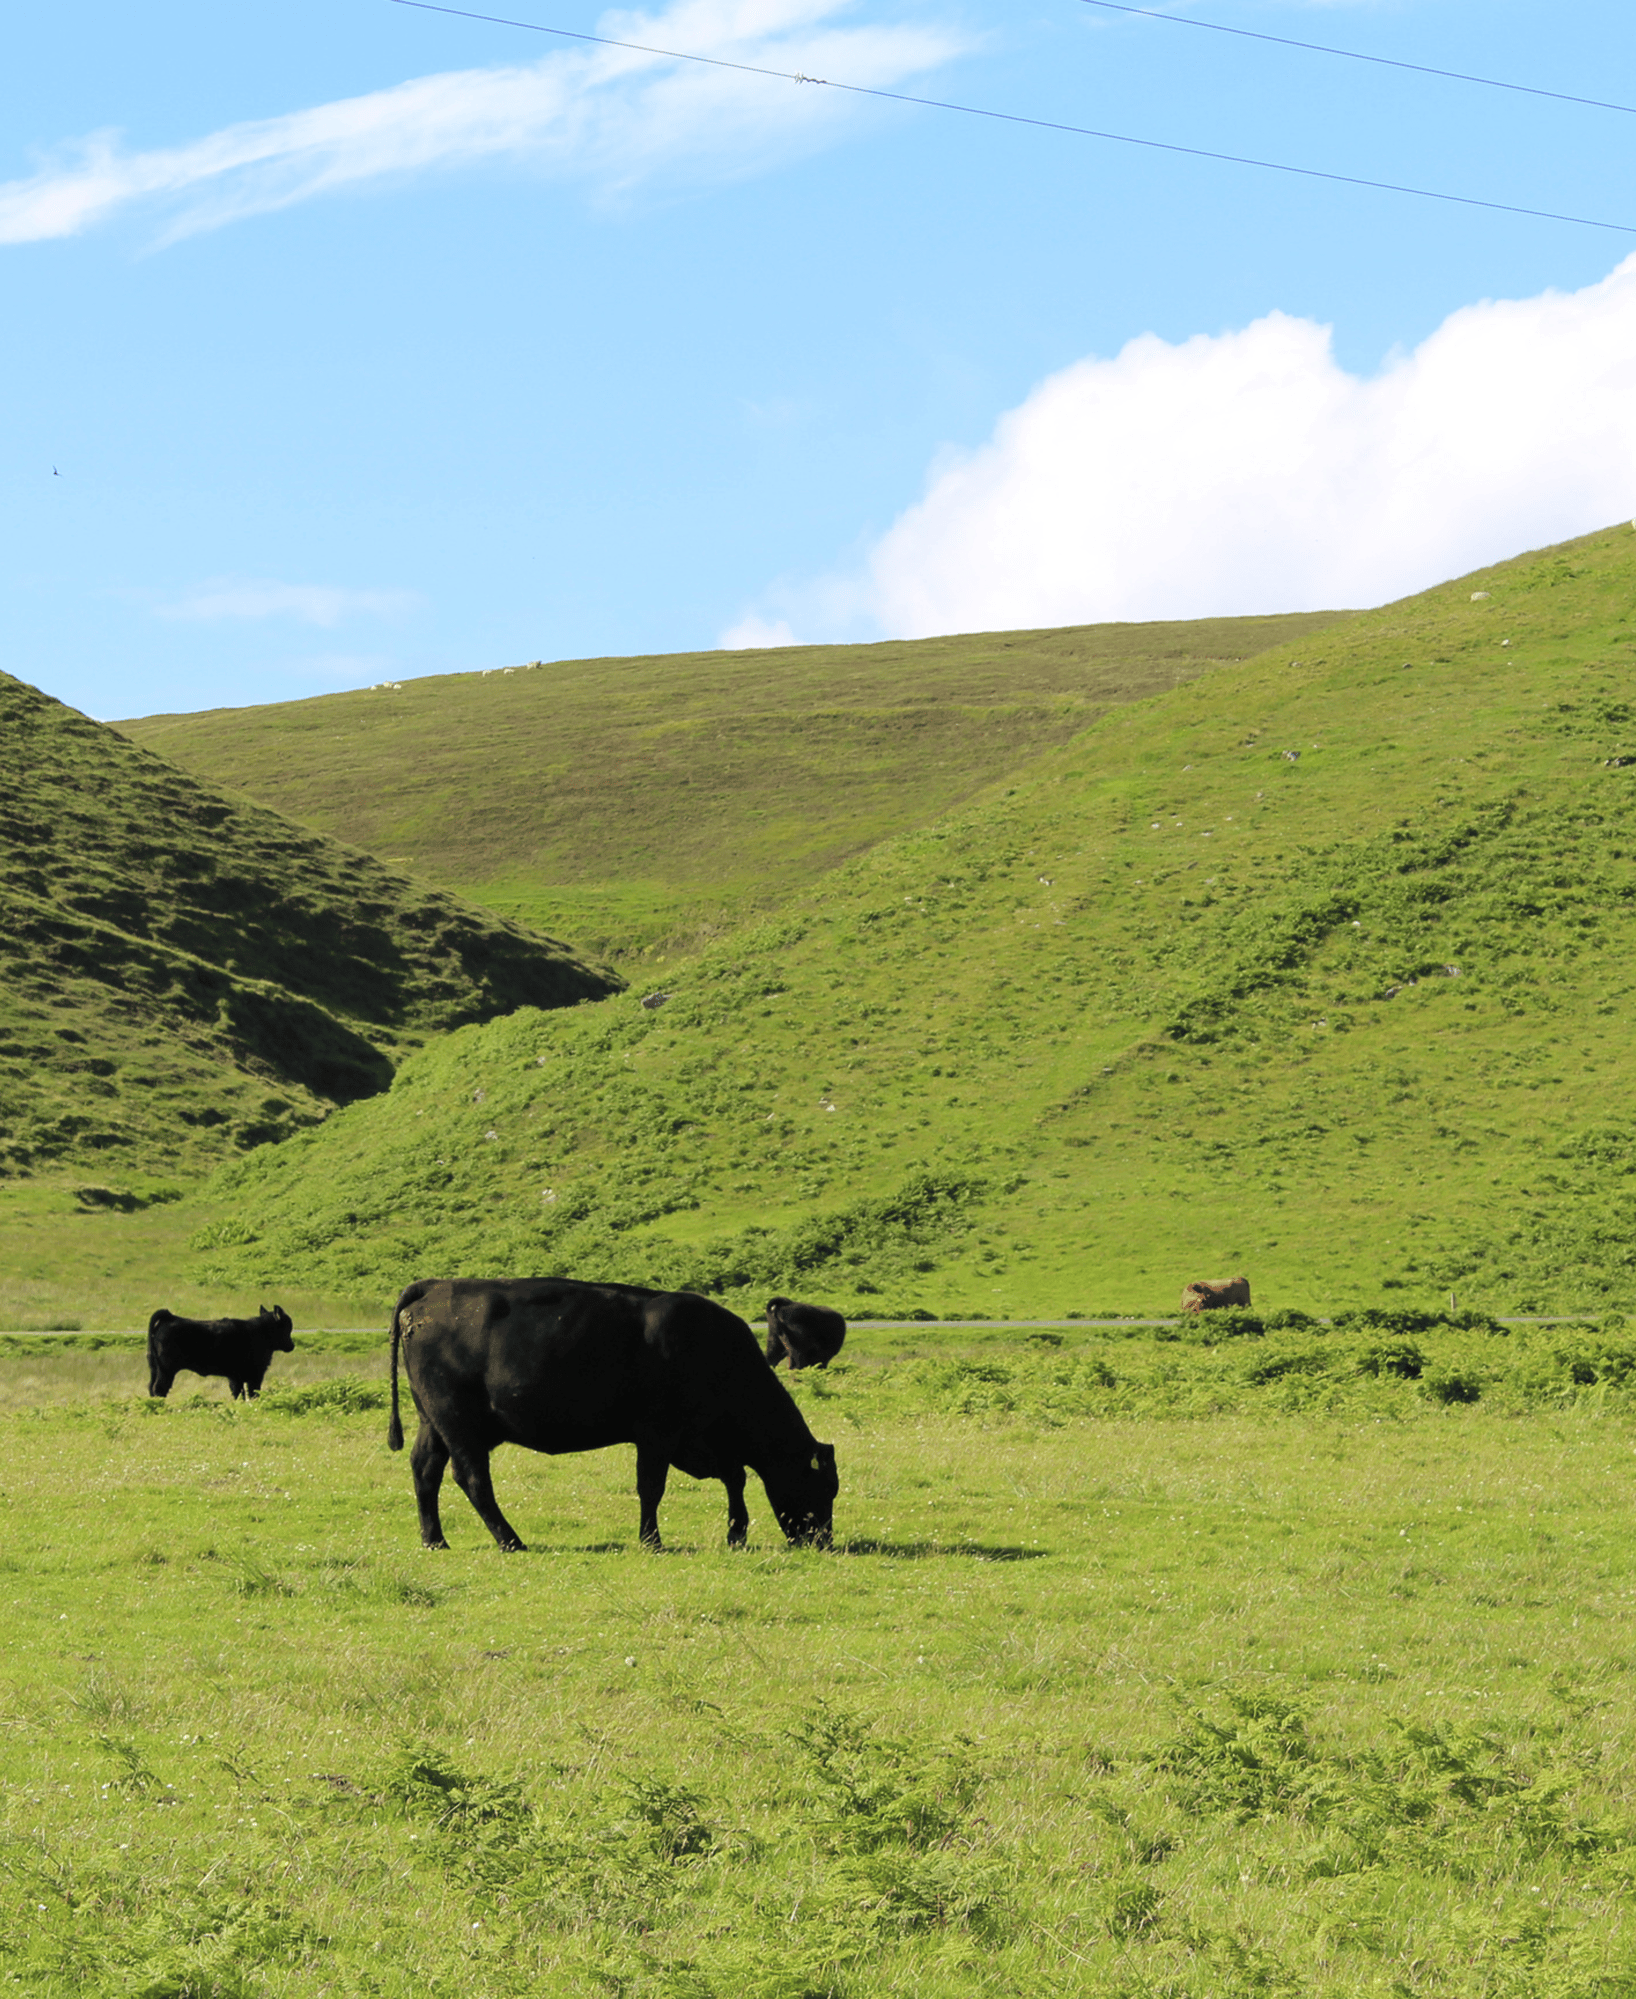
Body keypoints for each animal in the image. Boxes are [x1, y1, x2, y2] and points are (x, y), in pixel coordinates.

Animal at [147, 1303, 294, 1399]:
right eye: (286, 1327)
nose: (292, 1346)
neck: (261, 1331)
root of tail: (170, 1317)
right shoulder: (255, 1375)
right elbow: (252, 1392)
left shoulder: (235, 1377)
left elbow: (238, 1393)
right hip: (167, 1370)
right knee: (159, 1388)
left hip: (155, 1369)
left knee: (151, 1387)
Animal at [388, 1287, 836, 1551]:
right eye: (820, 1488)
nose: (823, 1542)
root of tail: (434, 1287)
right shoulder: (659, 1432)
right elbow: (652, 1487)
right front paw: (652, 1541)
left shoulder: (702, 1439)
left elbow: (735, 1477)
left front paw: (736, 1533)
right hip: (459, 1423)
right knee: (473, 1479)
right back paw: (511, 1541)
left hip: (432, 1422)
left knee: (425, 1470)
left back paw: (435, 1540)